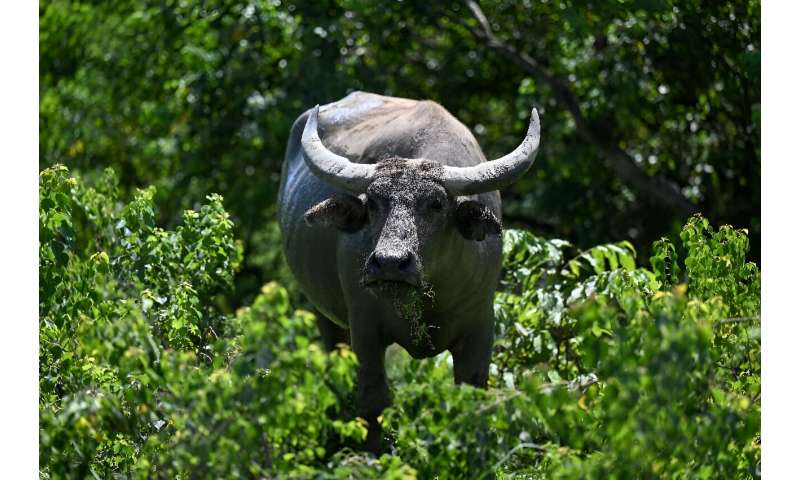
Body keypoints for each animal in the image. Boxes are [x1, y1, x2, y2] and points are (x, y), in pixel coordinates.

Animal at [278, 92, 540, 452]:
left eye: (436, 205)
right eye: (373, 203)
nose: (389, 262)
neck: (428, 297)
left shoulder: (481, 327)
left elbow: (473, 400)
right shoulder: (364, 329)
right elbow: (373, 400)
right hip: (325, 318)